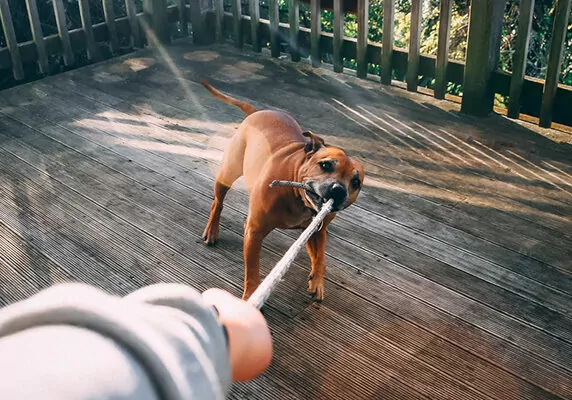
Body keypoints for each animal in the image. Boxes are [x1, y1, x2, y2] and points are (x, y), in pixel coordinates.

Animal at [200, 79, 362, 302]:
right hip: (228, 172)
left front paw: (317, 282)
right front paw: (251, 296)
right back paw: (212, 230)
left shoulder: (317, 231)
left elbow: (321, 257)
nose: (338, 190)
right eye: (326, 165)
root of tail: (257, 112)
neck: (299, 199)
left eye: (356, 182)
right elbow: (253, 270)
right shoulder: (255, 232)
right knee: (218, 202)